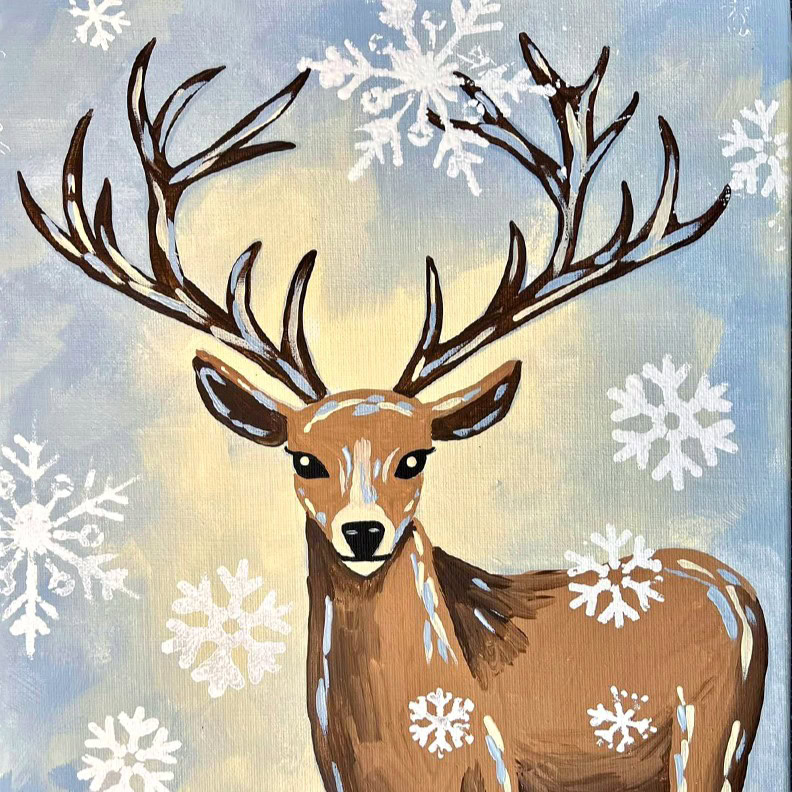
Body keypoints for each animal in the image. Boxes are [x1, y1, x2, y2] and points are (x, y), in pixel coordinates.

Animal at [17, 35, 767, 792]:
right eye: (304, 458)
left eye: (416, 456)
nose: (363, 531)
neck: (404, 754)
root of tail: (738, 588)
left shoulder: (500, 773)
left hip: (710, 745)